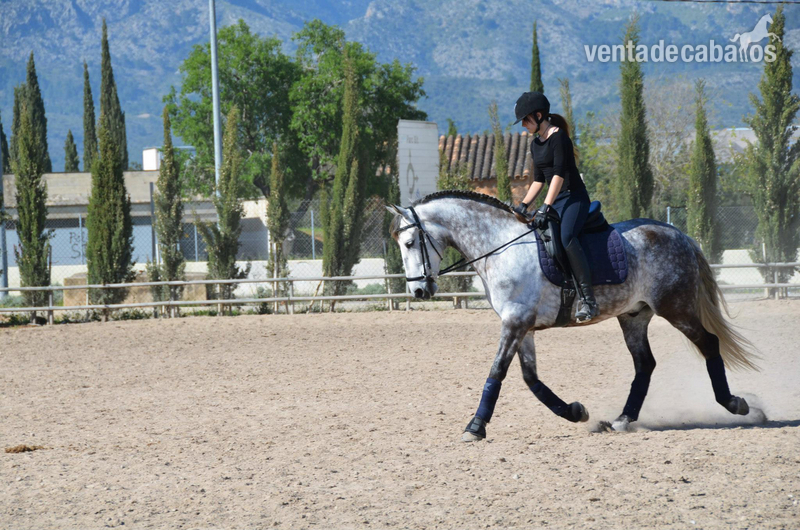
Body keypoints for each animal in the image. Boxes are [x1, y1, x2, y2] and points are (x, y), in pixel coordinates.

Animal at [387, 190, 759, 441]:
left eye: (409, 243)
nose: (418, 292)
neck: (501, 247)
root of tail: (678, 234)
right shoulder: (523, 327)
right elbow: (531, 380)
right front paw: (575, 412)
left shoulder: (515, 323)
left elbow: (497, 372)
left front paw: (475, 426)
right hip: (634, 316)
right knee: (645, 364)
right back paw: (622, 420)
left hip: (676, 307)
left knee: (708, 343)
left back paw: (735, 404)